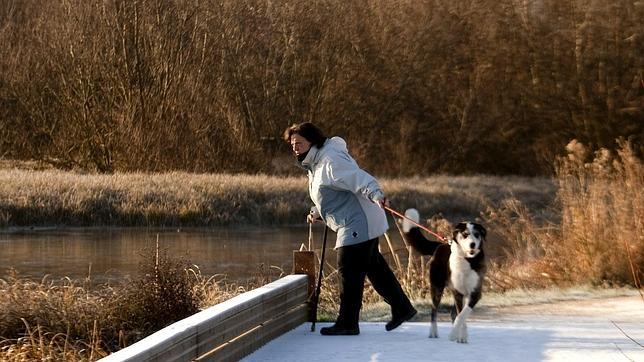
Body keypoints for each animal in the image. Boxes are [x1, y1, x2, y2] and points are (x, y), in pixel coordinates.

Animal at [400, 208, 486, 344]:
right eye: (465, 234)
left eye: (477, 234)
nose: (472, 244)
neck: (468, 260)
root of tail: (440, 245)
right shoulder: (458, 293)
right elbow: (460, 315)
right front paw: (457, 335)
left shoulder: (475, 293)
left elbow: (462, 315)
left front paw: (459, 335)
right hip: (437, 287)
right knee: (434, 310)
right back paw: (433, 332)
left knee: (453, 314)